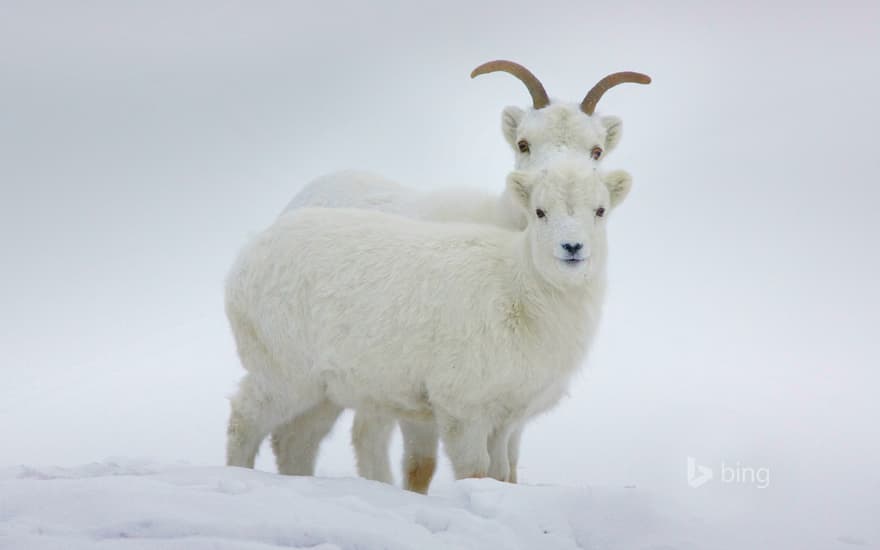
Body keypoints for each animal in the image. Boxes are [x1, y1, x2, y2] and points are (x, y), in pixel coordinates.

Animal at [227, 161, 632, 488]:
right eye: (540, 211)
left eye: (600, 211)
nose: (572, 247)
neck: (519, 289)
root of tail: (245, 258)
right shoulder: (463, 406)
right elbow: (474, 470)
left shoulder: (505, 415)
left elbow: (500, 473)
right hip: (283, 370)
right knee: (245, 418)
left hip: (324, 389)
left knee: (295, 440)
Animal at [272, 61, 648, 496]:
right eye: (523, 143)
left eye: (596, 150)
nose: (558, 179)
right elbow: (422, 465)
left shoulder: (510, 407)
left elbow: (508, 469)